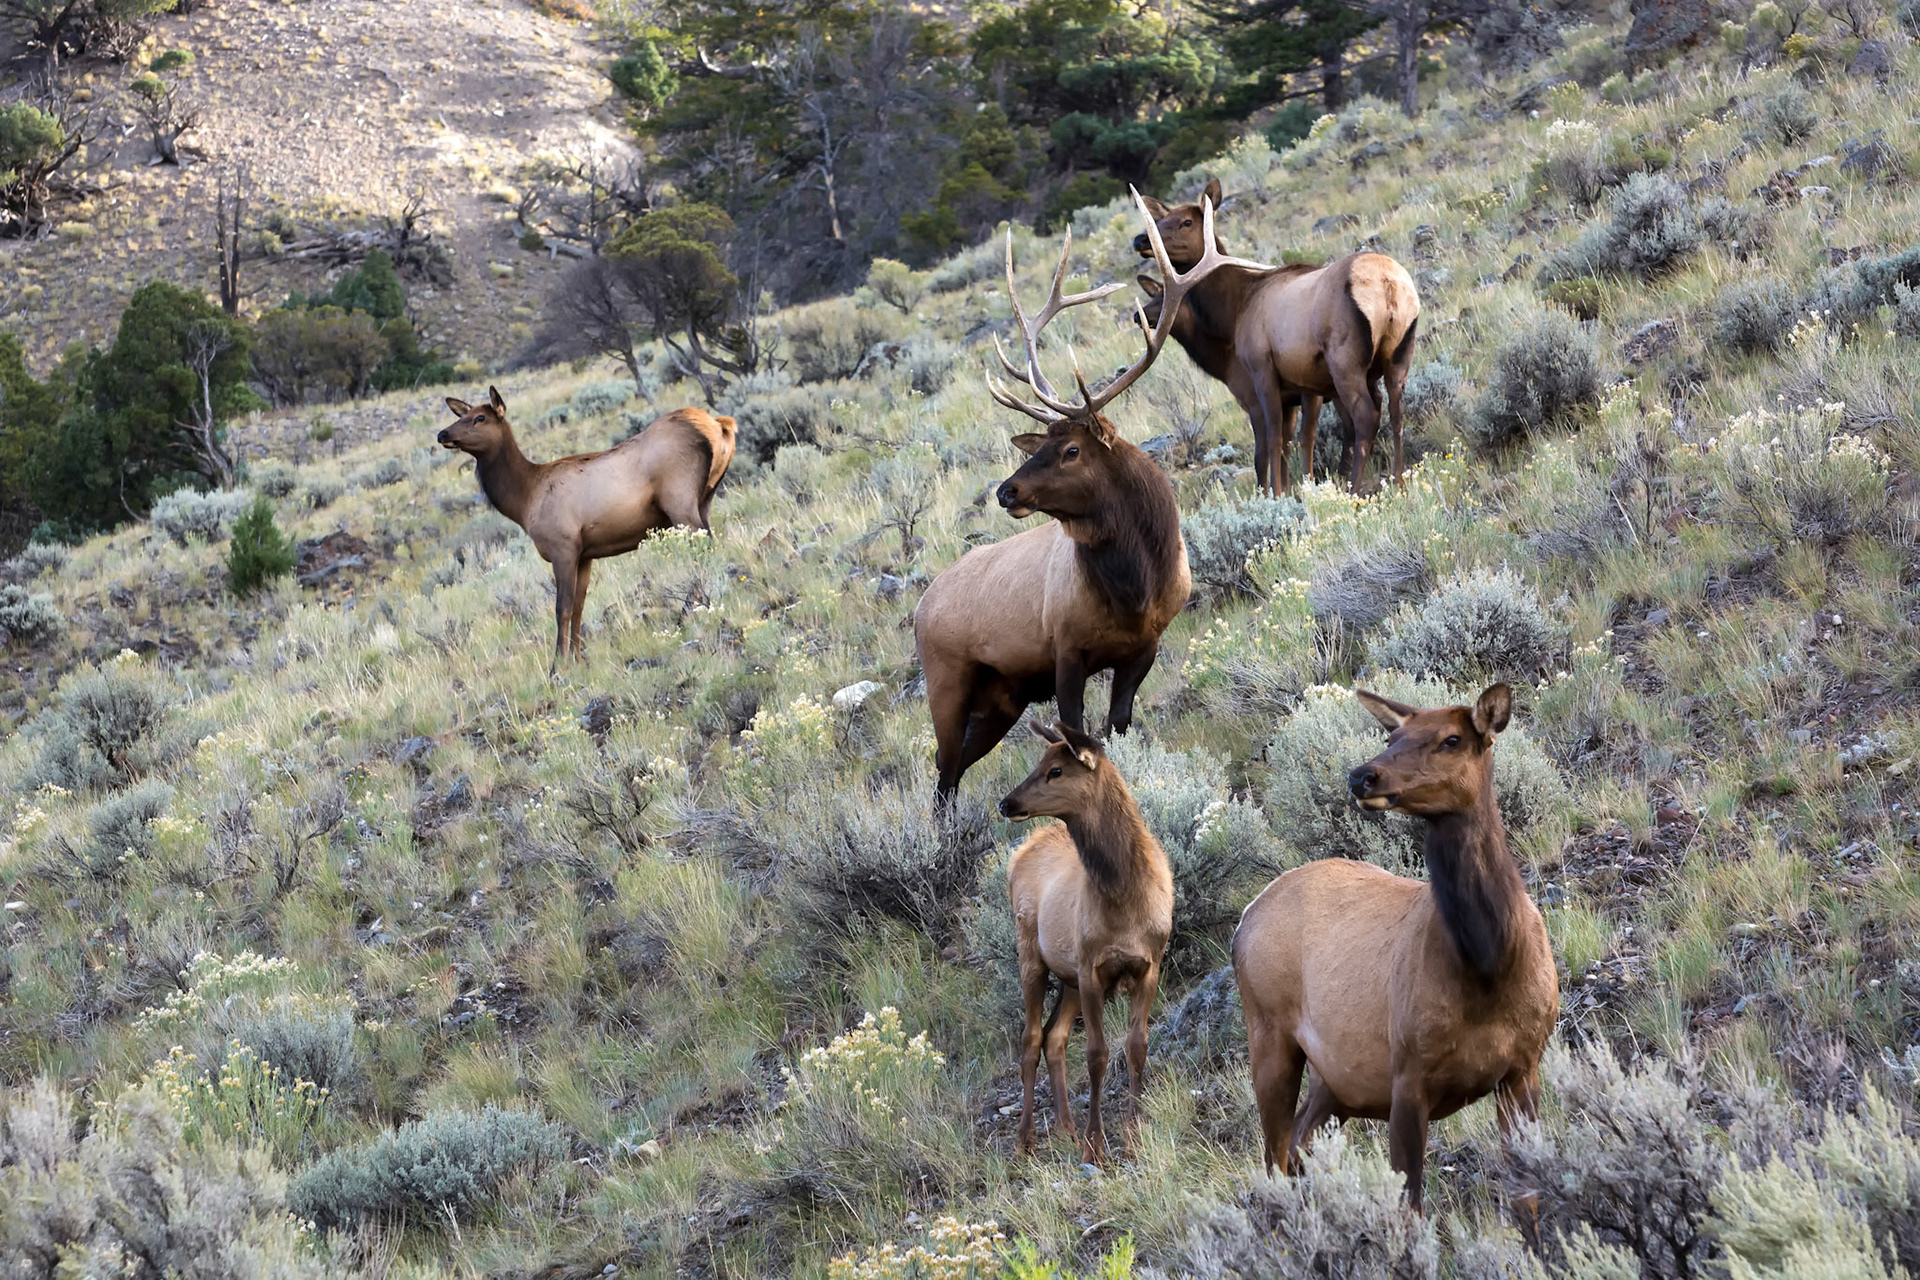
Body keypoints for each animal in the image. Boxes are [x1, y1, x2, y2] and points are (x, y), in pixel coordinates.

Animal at [437, 387, 736, 670]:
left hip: (679, 499)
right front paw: (579, 658)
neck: (524, 501)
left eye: (480, 417)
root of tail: (719, 426)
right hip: (705, 498)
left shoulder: (563, 546)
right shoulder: (585, 554)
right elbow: (579, 607)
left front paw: (558, 664)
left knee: (702, 550)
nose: (442, 433)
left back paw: (687, 614)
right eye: (461, 415)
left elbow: (562, 607)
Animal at [914, 191, 1268, 800]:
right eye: (1045, 445)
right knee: (944, 774)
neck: (1134, 588)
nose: (1006, 491)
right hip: (947, 681)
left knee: (953, 769)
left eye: (1072, 450)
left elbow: (1117, 725)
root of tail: (918, 608)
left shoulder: (1145, 646)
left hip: (1002, 696)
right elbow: (1073, 728)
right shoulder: (1065, 650)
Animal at [999, 720, 1173, 1164]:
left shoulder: (1150, 965)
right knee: (1030, 1039)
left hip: (1069, 978)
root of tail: (1021, 852)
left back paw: (1066, 1128)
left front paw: (1132, 1136)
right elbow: (1097, 1055)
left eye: (1056, 770)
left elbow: (1136, 1046)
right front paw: (1095, 1145)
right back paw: (1026, 1138)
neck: (1125, 901)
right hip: (1033, 954)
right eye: (1038, 762)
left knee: (1055, 1037)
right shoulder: (1092, 967)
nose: (1006, 803)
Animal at [1133, 178, 1420, 495]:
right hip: (1399, 354)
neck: (1234, 312)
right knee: (1396, 412)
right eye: (1161, 219)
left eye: (1186, 221)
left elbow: (1271, 445)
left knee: (1366, 417)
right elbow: (1294, 442)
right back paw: (1398, 482)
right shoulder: (1304, 387)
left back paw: (1354, 490)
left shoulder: (1261, 372)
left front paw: (1276, 493)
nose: (1140, 240)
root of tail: (1387, 285)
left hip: (1345, 362)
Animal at [1231, 683, 1558, 1212]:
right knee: (1275, 1160)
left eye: (1451, 739)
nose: (1362, 775)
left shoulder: (1523, 1067)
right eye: (1393, 736)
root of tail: (1244, 917)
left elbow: (1526, 1197)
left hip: (1335, 1081)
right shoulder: (1407, 1075)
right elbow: (1411, 1207)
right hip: (1269, 1034)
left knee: (1299, 1144)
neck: (1489, 966)